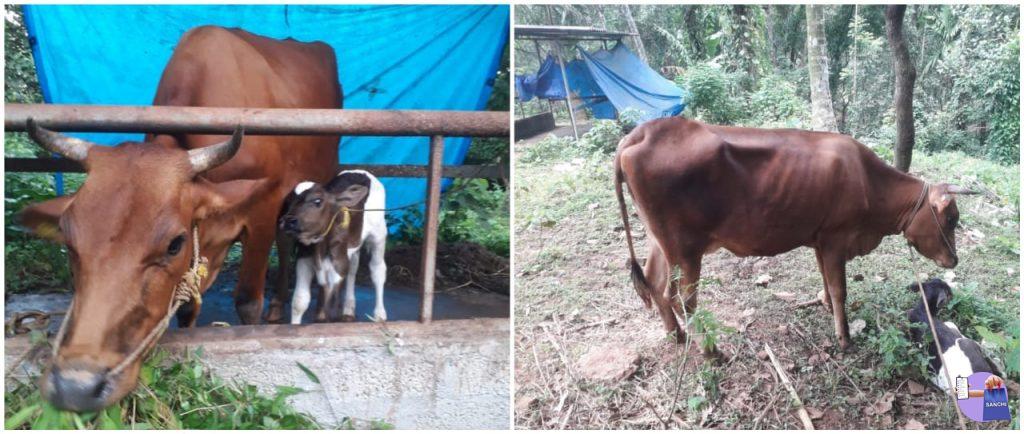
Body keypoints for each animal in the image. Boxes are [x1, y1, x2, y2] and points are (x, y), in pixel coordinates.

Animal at [18, 26, 342, 411]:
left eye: (174, 245)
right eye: (69, 242)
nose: (75, 387)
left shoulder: (262, 212)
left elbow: (248, 301)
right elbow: (188, 307)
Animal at [279, 170, 388, 324]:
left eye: (317, 201)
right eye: (288, 200)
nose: (288, 221)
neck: (320, 245)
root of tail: (361, 171)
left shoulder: (338, 261)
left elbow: (330, 306)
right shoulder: (304, 258)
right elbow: (299, 301)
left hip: (379, 234)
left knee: (377, 270)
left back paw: (379, 314)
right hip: (353, 244)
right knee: (353, 268)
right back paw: (349, 310)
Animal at [614, 117, 973, 354]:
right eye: (951, 218)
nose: (954, 259)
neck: (868, 182)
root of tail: (643, 132)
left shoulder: (820, 239)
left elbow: (826, 279)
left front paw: (826, 307)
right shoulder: (837, 237)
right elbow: (840, 289)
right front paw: (844, 338)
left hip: (662, 242)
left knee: (655, 284)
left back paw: (676, 336)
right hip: (687, 250)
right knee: (682, 299)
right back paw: (711, 351)